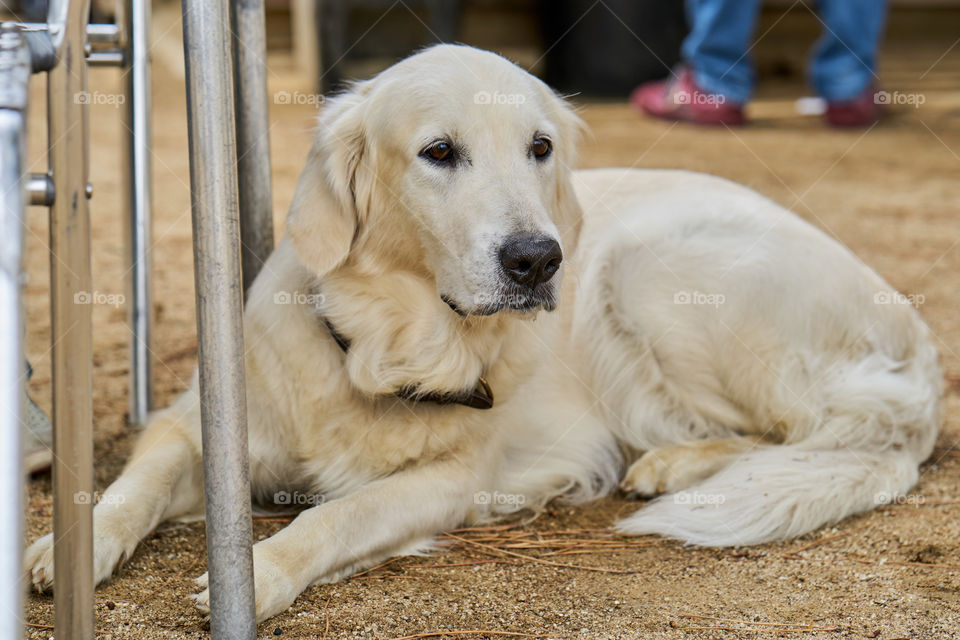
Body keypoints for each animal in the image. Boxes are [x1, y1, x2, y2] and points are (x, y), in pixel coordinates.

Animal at [24, 43, 944, 620]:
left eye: (540, 147)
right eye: (439, 152)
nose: (538, 259)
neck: (381, 341)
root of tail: (913, 329)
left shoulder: (452, 482)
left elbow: (333, 517)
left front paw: (257, 571)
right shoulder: (193, 427)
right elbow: (130, 488)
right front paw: (69, 550)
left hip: (650, 267)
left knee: (816, 431)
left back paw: (673, 465)